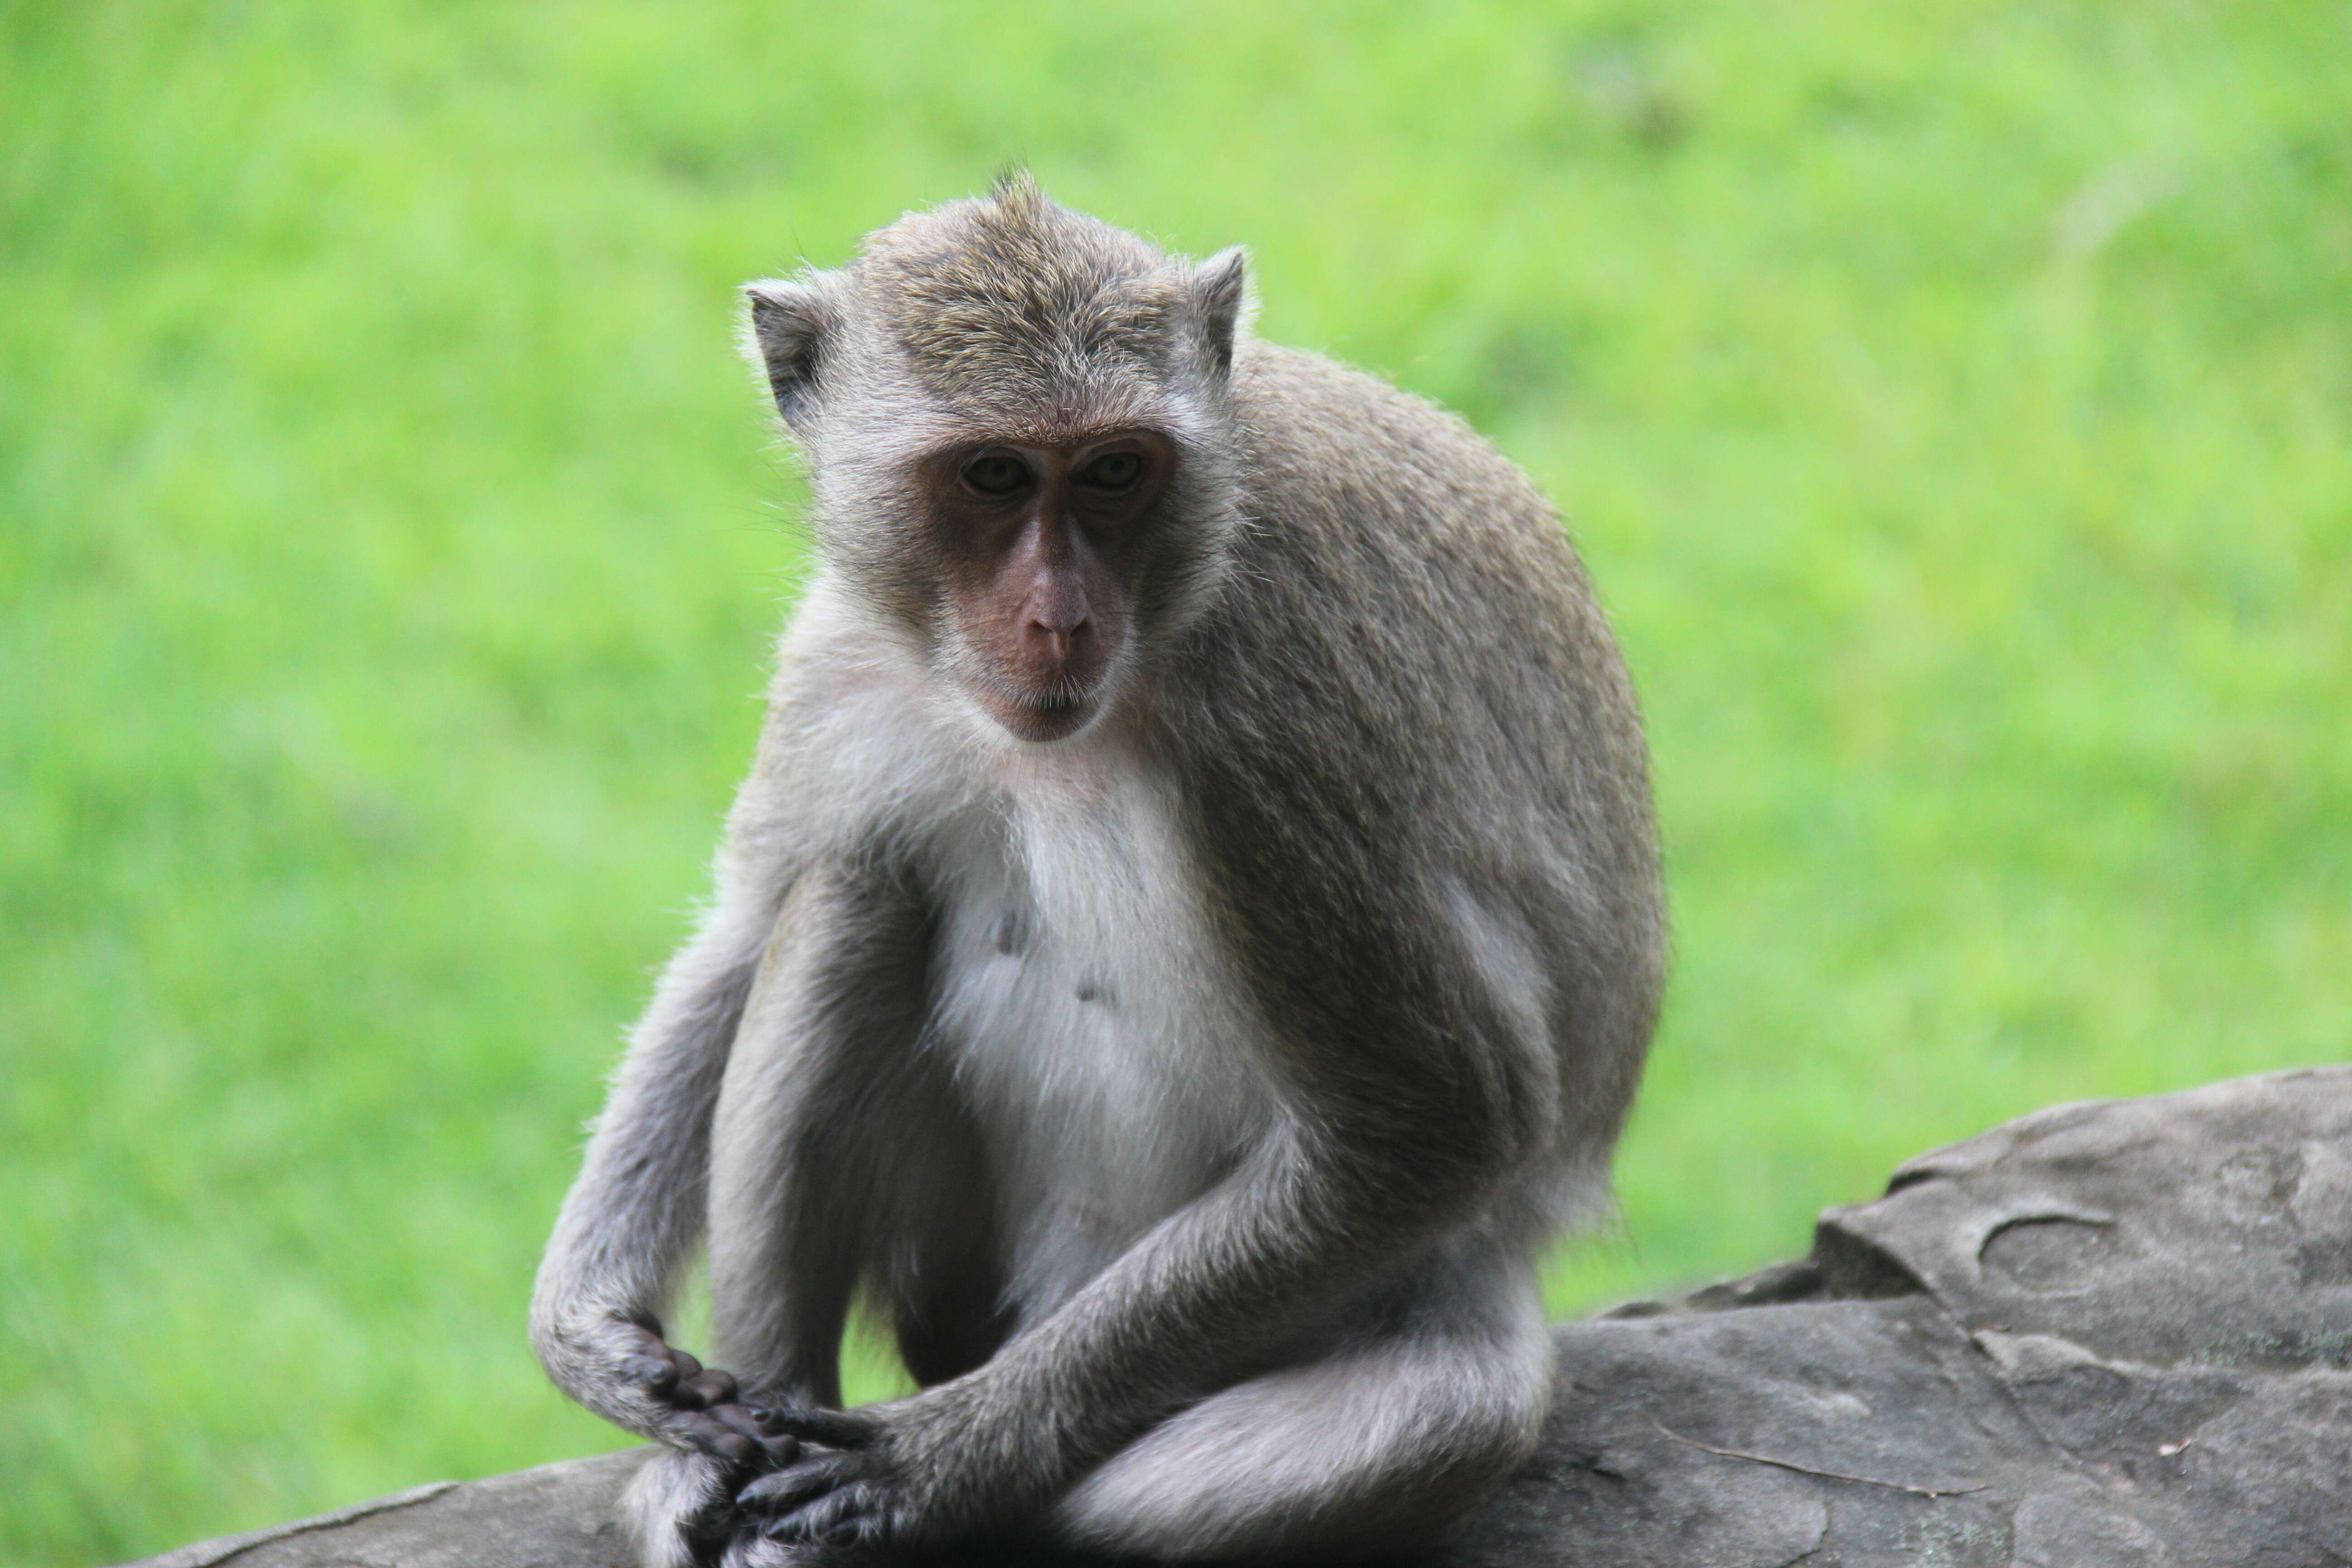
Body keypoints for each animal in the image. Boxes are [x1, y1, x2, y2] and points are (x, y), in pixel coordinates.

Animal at [534, 175, 1675, 1568]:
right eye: (992, 474)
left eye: (1117, 469)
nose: (1060, 617)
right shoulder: (841, 660)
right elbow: (743, 931)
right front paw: (592, 1336)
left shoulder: (1277, 731)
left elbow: (1437, 1114)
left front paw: (939, 1461)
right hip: (955, 1269)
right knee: (854, 886)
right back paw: (736, 1451)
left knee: (1444, 1412)